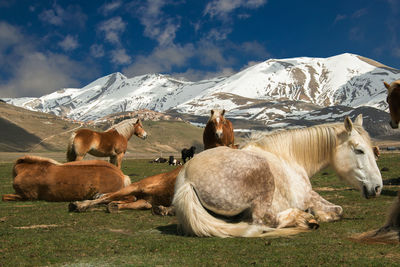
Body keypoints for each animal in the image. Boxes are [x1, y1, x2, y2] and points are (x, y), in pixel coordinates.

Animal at [173, 115, 382, 239]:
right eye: (359, 150)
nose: (377, 187)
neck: (288, 157)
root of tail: (186, 178)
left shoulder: (312, 194)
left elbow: (337, 208)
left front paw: (320, 213)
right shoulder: (306, 196)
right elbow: (338, 211)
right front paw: (317, 215)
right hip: (263, 180)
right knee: (263, 221)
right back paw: (305, 218)